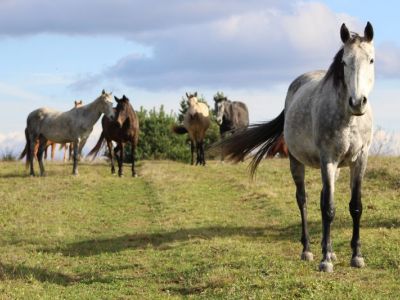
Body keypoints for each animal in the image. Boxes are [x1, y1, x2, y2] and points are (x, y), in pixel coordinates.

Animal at [216, 22, 376, 272]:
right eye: (344, 62)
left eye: (371, 60)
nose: (357, 102)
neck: (349, 119)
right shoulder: (328, 159)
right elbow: (329, 209)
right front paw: (324, 261)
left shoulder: (360, 160)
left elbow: (355, 207)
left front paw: (356, 256)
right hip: (297, 162)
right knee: (303, 199)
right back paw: (309, 250)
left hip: (336, 168)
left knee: (320, 198)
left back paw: (330, 250)